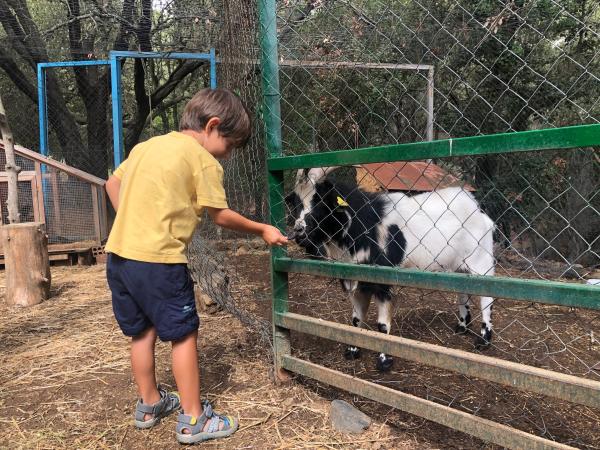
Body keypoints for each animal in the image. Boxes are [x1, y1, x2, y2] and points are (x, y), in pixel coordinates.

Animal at [288, 167, 494, 370]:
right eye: (296, 202)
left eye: (321, 201)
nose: (299, 232)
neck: (365, 225)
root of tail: (476, 208)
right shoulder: (356, 282)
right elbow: (356, 320)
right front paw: (353, 350)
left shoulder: (383, 282)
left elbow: (382, 325)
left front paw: (384, 360)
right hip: (459, 267)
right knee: (463, 292)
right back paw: (462, 327)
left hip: (481, 261)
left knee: (487, 298)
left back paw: (484, 340)